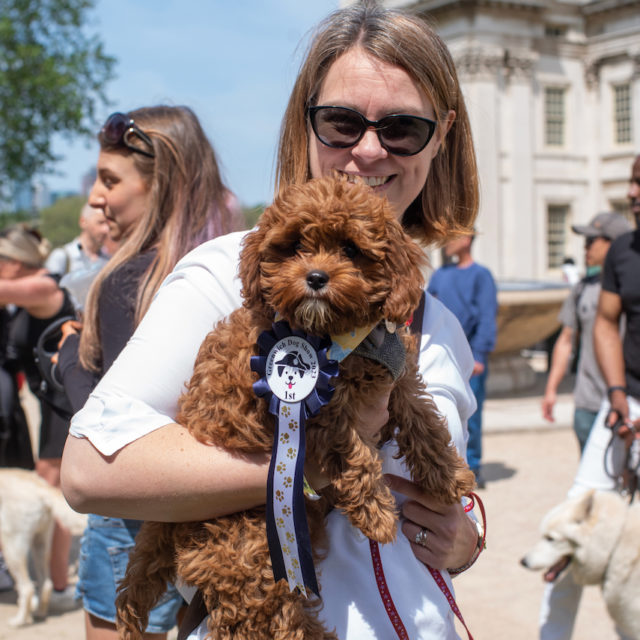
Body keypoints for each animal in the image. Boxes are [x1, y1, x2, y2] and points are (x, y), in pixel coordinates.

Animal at [0, 464, 86, 624]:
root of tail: (40, 486)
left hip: (12, 546)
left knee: (27, 588)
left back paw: (19, 621)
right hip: (41, 543)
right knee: (46, 585)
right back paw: (39, 613)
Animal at [115, 176, 476, 640]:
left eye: (350, 249)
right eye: (295, 246)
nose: (316, 277)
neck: (338, 333)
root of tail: (168, 525)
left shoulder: (398, 380)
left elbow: (424, 422)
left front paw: (449, 477)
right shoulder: (324, 412)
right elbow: (353, 452)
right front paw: (376, 512)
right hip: (253, 547)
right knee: (263, 618)